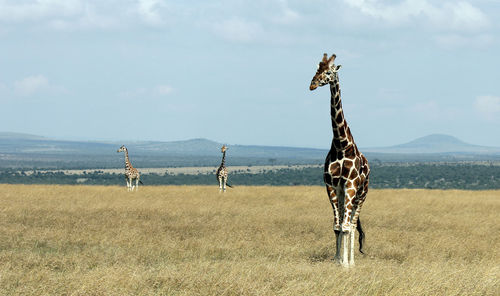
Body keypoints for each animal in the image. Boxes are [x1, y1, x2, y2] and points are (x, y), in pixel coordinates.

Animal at [310, 53, 370, 268]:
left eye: (329, 72)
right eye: (316, 70)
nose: (312, 84)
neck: (340, 143)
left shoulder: (350, 184)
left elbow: (345, 227)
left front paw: (345, 264)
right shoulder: (331, 185)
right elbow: (336, 226)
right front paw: (337, 260)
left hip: (361, 194)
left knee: (351, 225)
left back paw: (351, 262)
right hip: (345, 194)